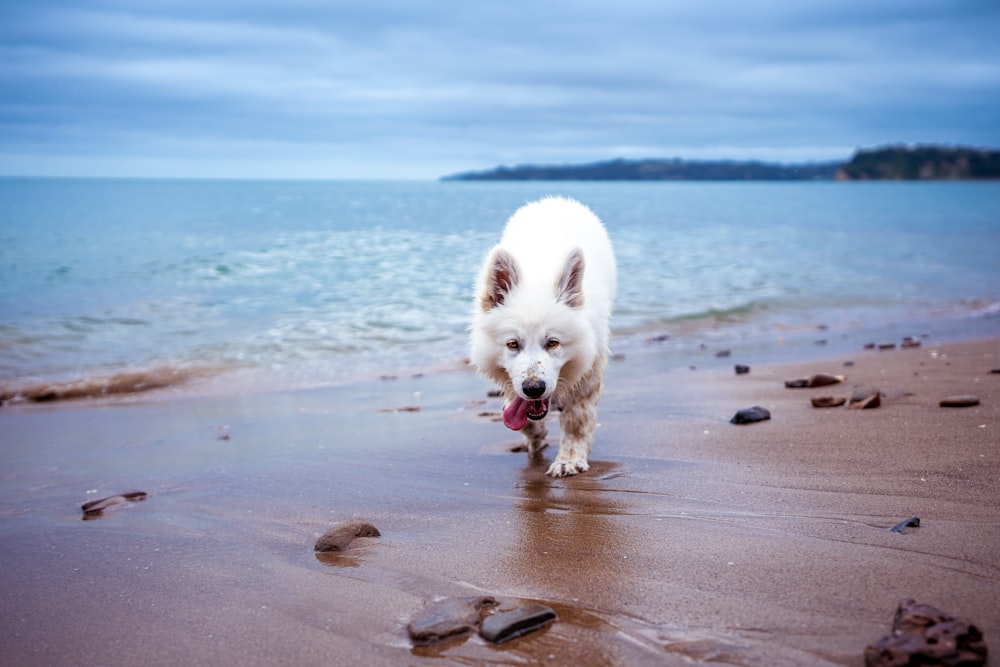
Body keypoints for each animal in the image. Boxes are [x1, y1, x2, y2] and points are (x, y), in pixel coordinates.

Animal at [470, 196, 616, 478]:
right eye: (512, 344)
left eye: (553, 343)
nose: (534, 388)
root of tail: (554, 200)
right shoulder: (512, 381)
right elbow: (517, 411)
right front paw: (535, 434)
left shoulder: (589, 372)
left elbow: (577, 421)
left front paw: (569, 459)